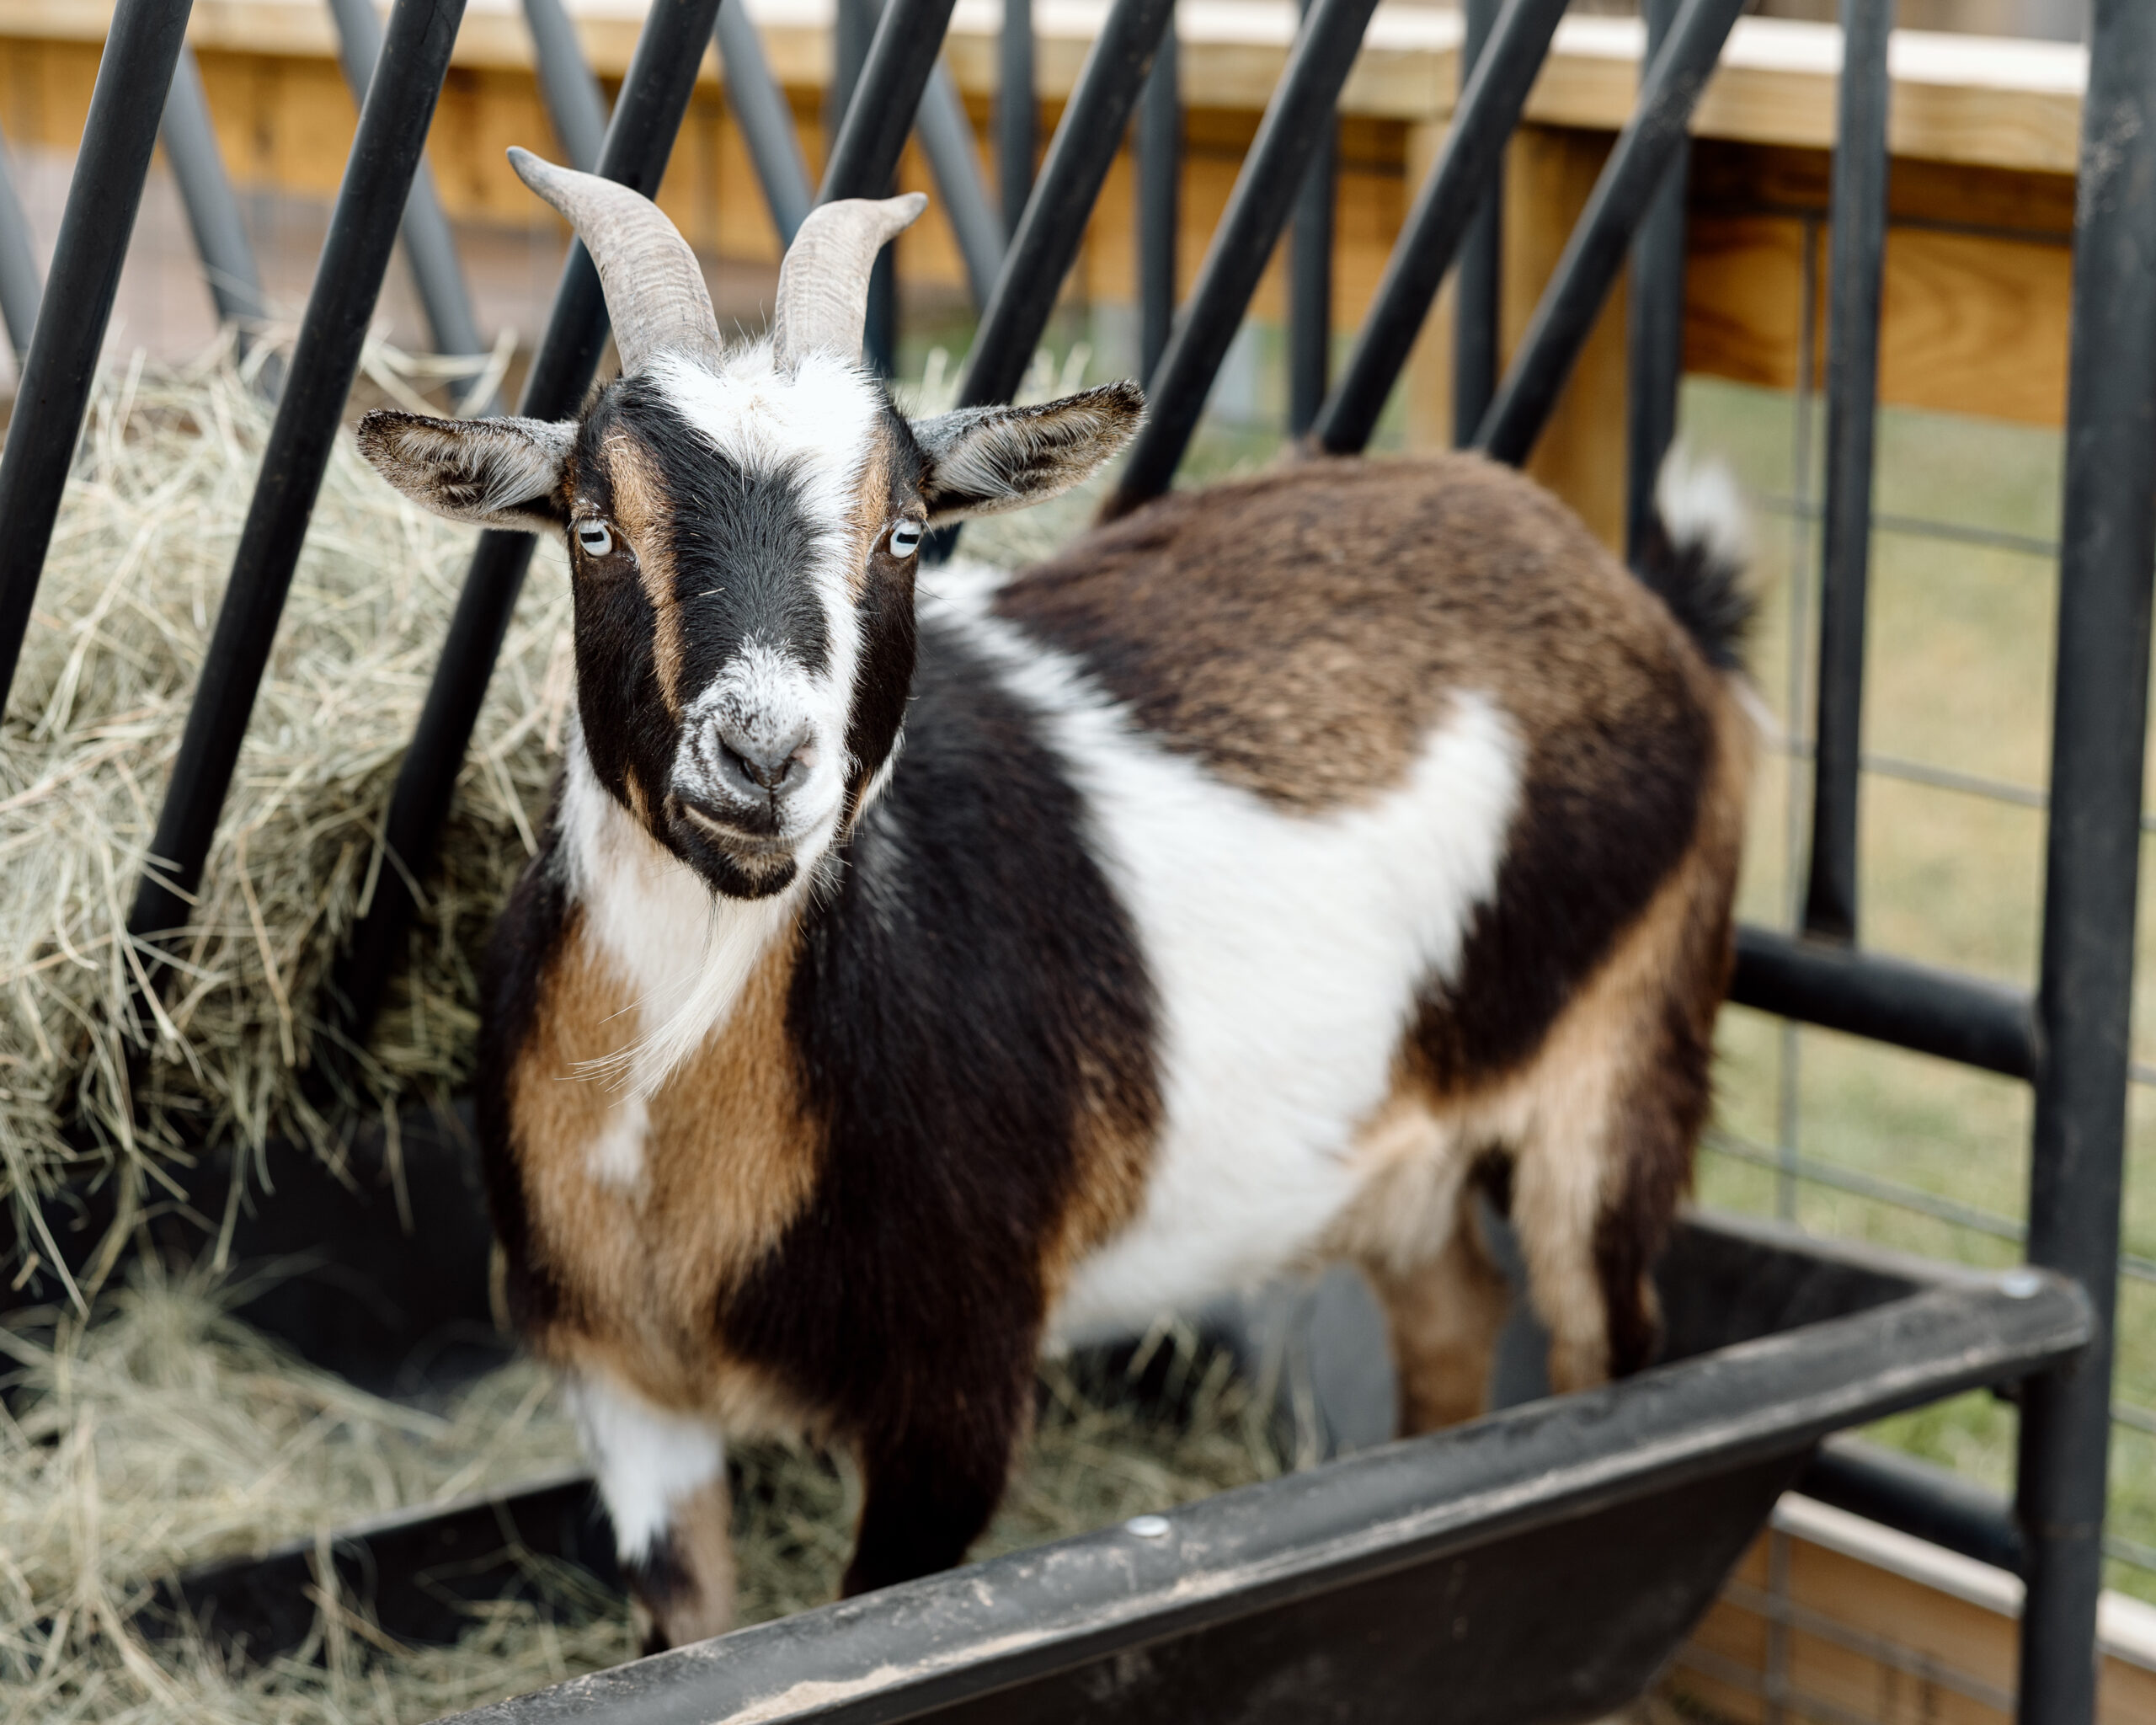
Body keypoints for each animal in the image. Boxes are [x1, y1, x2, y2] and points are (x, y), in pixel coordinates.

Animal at [356, 151, 1753, 1652]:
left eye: (906, 531)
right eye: (595, 525)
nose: (762, 759)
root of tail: (1630, 593)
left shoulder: (957, 1393)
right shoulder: (626, 1394)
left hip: (1627, 1050)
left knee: (1609, 1332)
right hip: (1402, 1144)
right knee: (1454, 1312)